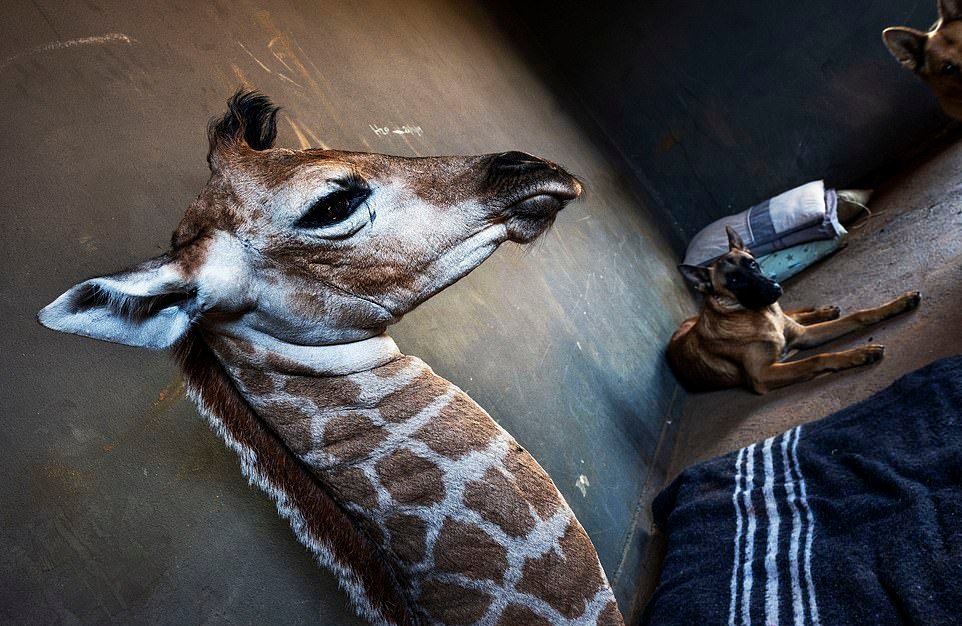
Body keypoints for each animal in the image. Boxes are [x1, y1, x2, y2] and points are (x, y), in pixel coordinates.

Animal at [664, 227, 920, 392]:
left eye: (753, 264)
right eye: (734, 281)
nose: (775, 288)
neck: (759, 316)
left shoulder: (804, 334)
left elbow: (858, 316)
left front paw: (898, 303)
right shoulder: (762, 375)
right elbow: (816, 359)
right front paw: (860, 354)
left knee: (795, 314)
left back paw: (824, 311)